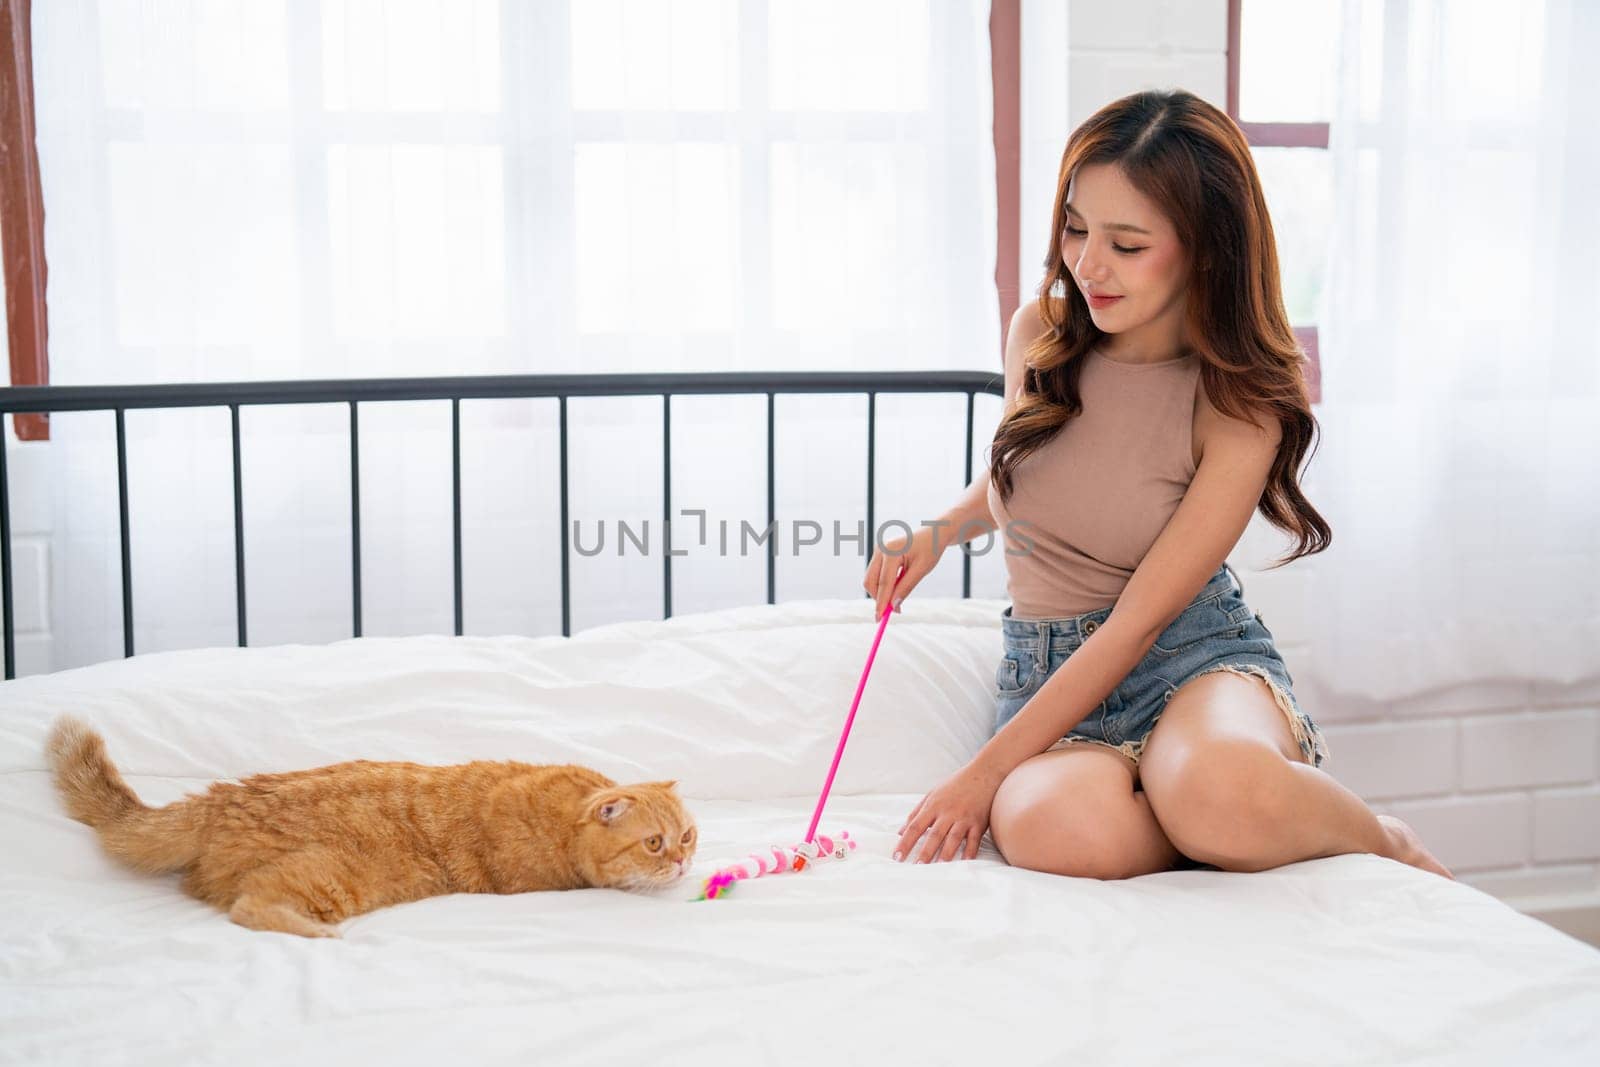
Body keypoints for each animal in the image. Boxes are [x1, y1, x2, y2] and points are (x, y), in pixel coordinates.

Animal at [42, 716, 694, 934]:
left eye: (687, 837)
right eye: (654, 843)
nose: (685, 861)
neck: (566, 812)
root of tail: (220, 799)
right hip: (330, 874)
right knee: (250, 906)